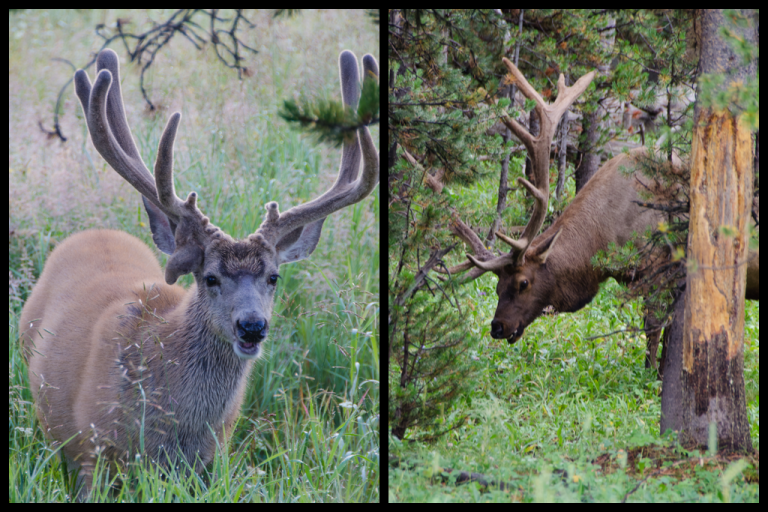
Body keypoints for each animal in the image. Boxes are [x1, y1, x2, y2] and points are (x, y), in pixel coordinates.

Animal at [19, 48, 379, 499]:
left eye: (274, 277)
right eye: (210, 278)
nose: (252, 326)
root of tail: (94, 232)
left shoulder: (212, 458)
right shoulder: (93, 453)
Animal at [431, 57, 758, 373]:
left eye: (523, 283)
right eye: (497, 286)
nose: (497, 327)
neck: (605, 238)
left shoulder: (659, 265)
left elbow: (653, 326)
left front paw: (652, 374)